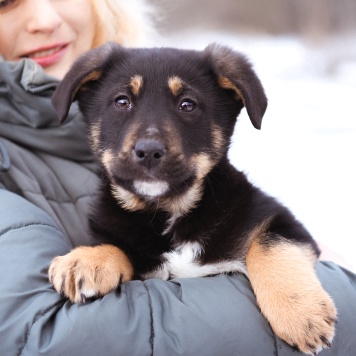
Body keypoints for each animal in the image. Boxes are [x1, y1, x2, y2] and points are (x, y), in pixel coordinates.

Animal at [49, 41, 336, 354]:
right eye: (122, 102)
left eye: (187, 104)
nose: (148, 151)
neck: (170, 213)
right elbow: (118, 246)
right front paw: (86, 261)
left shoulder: (279, 217)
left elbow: (272, 246)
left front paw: (301, 315)